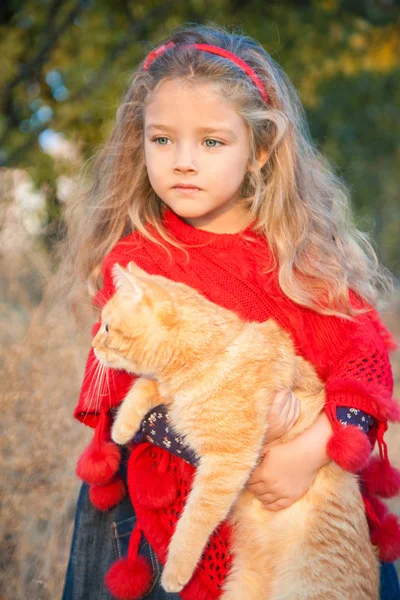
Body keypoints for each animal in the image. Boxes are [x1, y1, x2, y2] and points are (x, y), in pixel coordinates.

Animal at [92, 262, 380, 600]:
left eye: (106, 328)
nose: (93, 346)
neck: (207, 354)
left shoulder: (227, 461)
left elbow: (196, 517)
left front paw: (176, 571)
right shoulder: (169, 393)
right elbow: (142, 386)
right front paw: (121, 428)